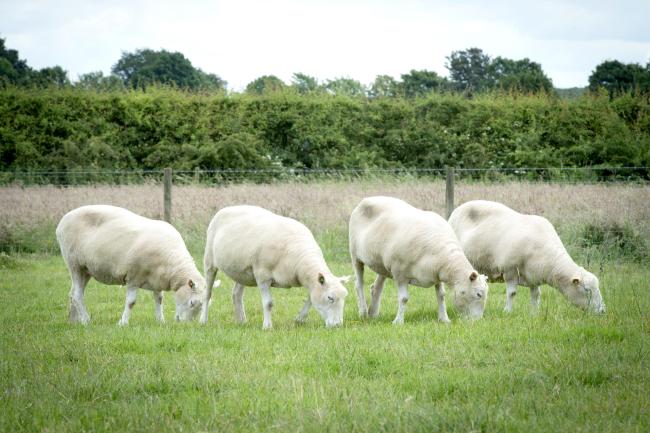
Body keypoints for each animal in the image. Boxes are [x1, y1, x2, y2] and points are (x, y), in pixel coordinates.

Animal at [56, 205, 210, 324]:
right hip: (74, 264)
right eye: (192, 303)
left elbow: (159, 299)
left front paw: (160, 321)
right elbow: (131, 302)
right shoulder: (133, 277)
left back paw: (75, 320)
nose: (185, 324)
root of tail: (62, 221)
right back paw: (86, 320)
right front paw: (123, 323)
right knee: (77, 295)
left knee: (73, 294)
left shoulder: (157, 280)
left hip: (86, 269)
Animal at [204, 205, 350, 328]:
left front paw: (299, 319)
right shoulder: (262, 276)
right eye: (330, 298)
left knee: (236, 294)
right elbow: (268, 303)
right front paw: (267, 326)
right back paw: (203, 321)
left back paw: (242, 321)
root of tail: (228, 207)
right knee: (207, 293)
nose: (337, 325)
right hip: (209, 261)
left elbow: (309, 299)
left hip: (242, 272)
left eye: (345, 297)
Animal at [346, 195, 484, 320]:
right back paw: (363, 312)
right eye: (478, 294)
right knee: (359, 284)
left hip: (382, 266)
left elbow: (441, 295)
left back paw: (373, 314)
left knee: (376, 288)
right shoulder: (399, 273)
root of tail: (366, 199)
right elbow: (404, 299)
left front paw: (444, 319)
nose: (477, 321)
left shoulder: (436, 274)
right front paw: (398, 322)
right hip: (355, 255)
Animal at [446, 199, 604, 314]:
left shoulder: (534, 275)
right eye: (587, 290)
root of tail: (457, 209)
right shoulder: (510, 270)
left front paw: (534, 313)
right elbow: (512, 293)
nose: (602, 311)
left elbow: (536, 295)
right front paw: (507, 311)